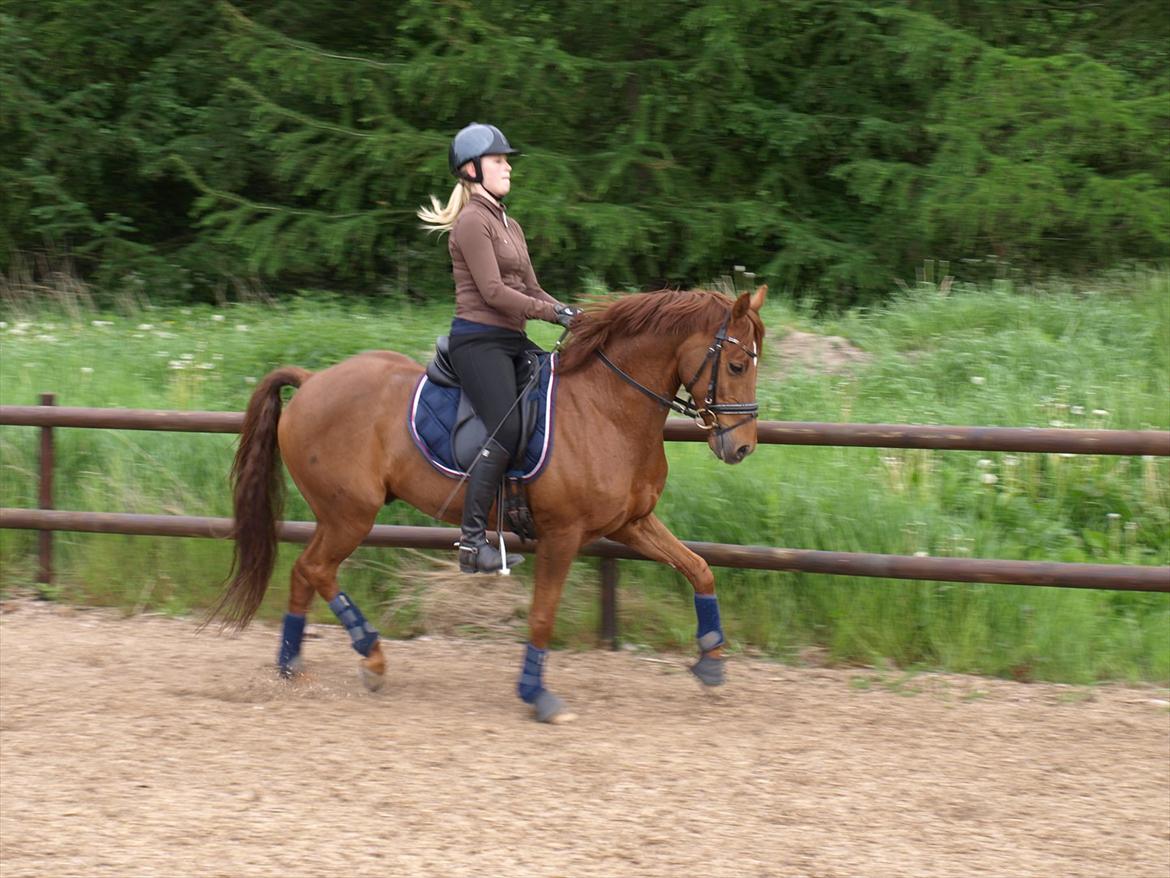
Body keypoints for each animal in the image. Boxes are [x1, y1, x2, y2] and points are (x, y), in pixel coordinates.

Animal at [208, 285, 767, 722]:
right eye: (737, 363)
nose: (741, 448)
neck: (607, 407)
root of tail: (311, 381)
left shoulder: (632, 523)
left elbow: (699, 569)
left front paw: (712, 660)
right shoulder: (563, 535)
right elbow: (543, 615)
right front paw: (537, 695)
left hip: (339, 515)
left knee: (304, 573)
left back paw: (292, 667)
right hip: (351, 514)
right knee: (316, 569)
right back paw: (370, 657)